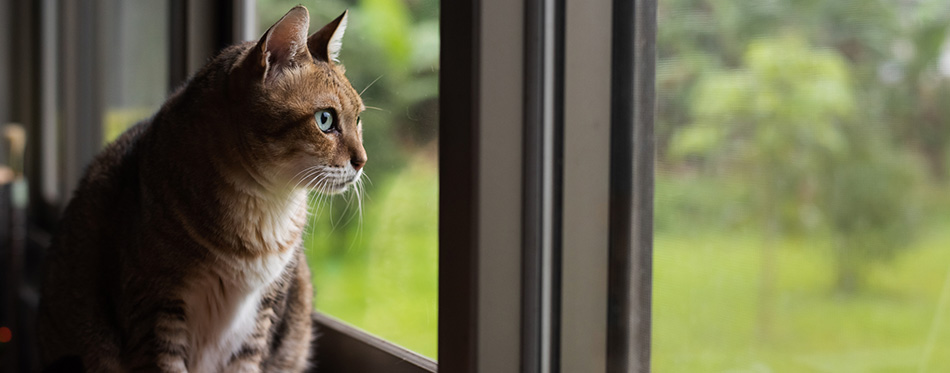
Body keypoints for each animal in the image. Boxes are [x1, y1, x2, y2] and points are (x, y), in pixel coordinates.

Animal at [37, 5, 366, 370]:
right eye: (325, 120)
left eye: (358, 120)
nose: (362, 161)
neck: (265, 206)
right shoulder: (155, 310)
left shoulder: (260, 317)